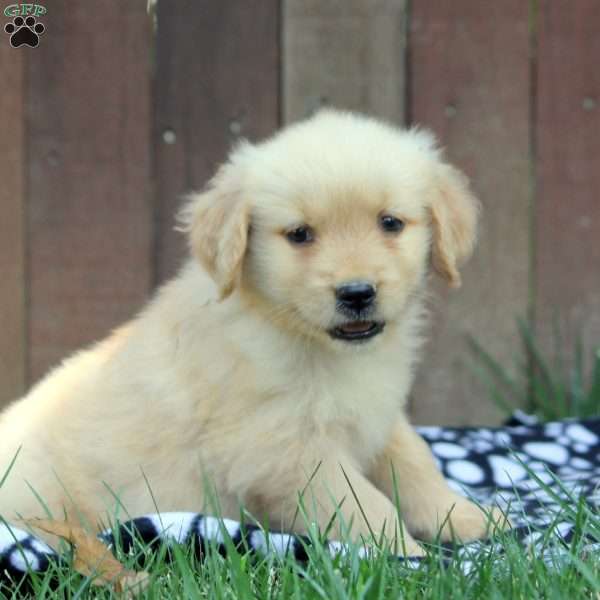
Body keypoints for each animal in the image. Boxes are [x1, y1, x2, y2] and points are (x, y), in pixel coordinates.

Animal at [0, 110, 506, 556]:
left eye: (390, 223)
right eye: (300, 235)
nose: (357, 293)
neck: (296, 332)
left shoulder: (375, 413)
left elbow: (415, 461)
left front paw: (464, 516)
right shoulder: (286, 452)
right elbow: (360, 502)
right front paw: (407, 555)